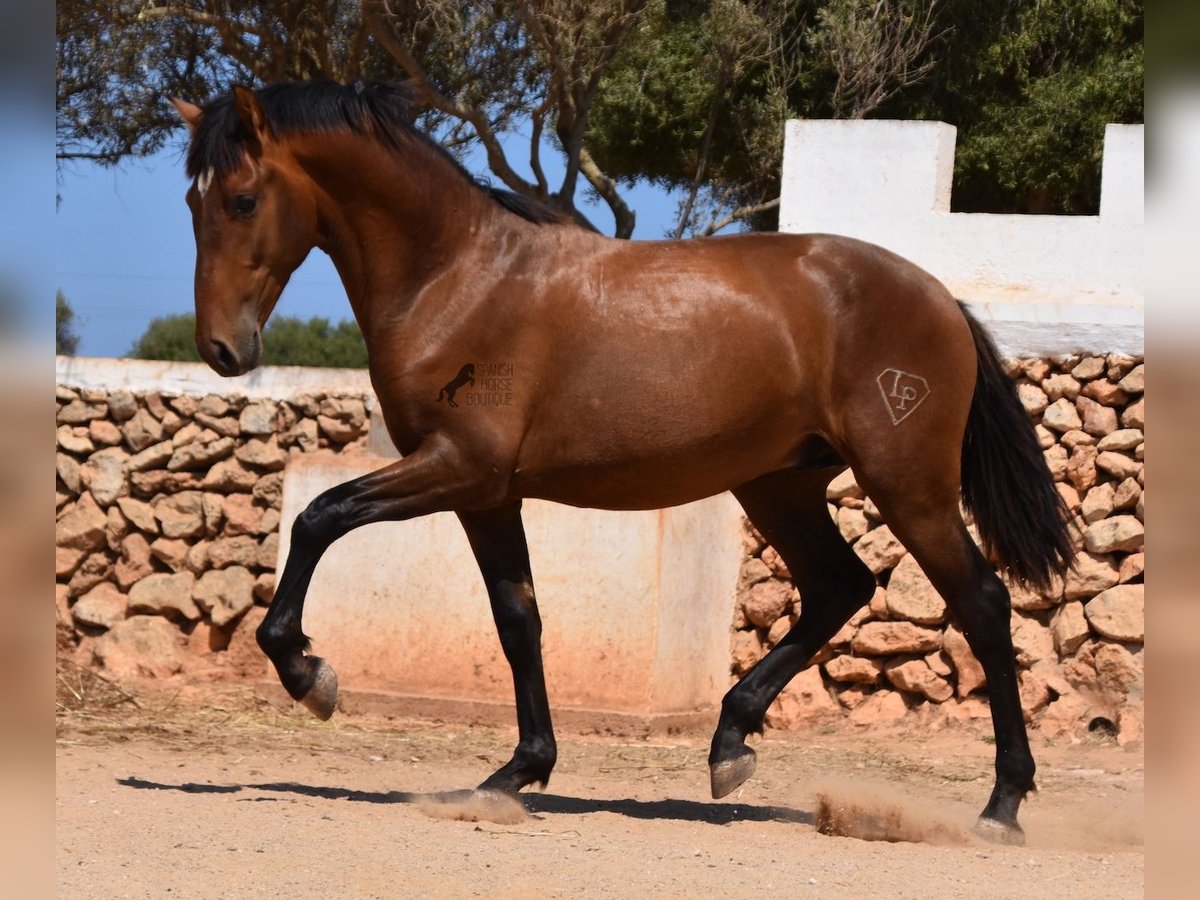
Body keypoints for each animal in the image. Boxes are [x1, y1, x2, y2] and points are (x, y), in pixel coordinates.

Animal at [166, 79, 1070, 844]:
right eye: (191, 201)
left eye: (242, 198)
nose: (221, 350)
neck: (458, 276)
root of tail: (941, 298)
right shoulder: (485, 495)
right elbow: (518, 619)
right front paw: (516, 773)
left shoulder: (457, 467)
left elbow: (319, 518)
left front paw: (307, 673)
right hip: (780, 485)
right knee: (837, 587)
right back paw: (729, 745)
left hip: (908, 486)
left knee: (982, 605)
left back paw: (1001, 807)